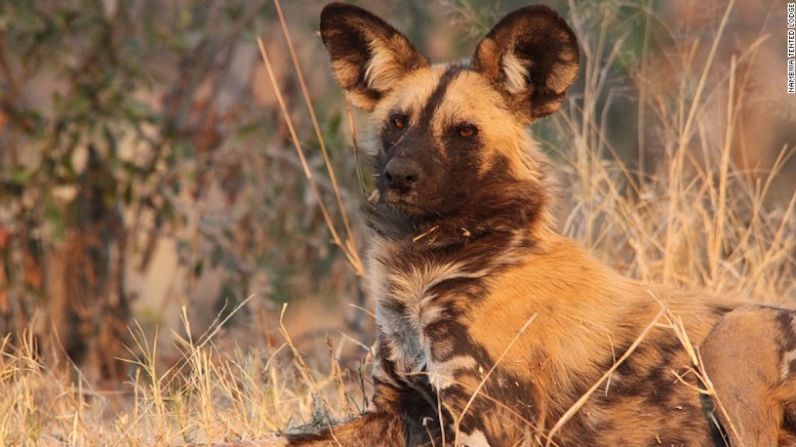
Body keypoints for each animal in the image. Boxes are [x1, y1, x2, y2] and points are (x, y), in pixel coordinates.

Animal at [280, 3, 796, 447]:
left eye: (464, 132)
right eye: (398, 122)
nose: (399, 176)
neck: (427, 268)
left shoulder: (484, 424)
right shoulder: (395, 408)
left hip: (733, 337)